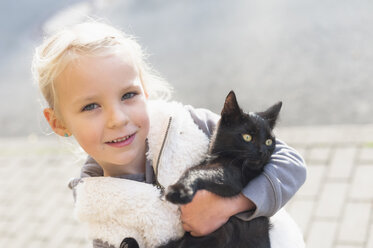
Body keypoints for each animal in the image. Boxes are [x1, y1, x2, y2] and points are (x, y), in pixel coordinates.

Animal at [123, 91, 280, 248]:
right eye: (247, 137)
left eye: (269, 141)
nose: (263, 152)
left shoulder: (232, 178)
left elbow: (195, 170)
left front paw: (178, 191)